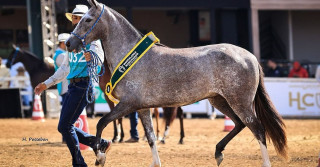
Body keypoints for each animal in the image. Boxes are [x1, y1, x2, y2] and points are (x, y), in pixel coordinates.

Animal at [67, 0, 288, 166]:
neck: (131, 57)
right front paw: (155, 163)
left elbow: (101, 123)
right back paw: (218, 152)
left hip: (239, 101)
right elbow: (150, 137)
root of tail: (250, 56)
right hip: (219, 100)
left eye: (87, 19)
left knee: (258, 129)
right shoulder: (142, 108)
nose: (69, 43)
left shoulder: (128, 104)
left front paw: (100, 157)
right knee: (240, 124)